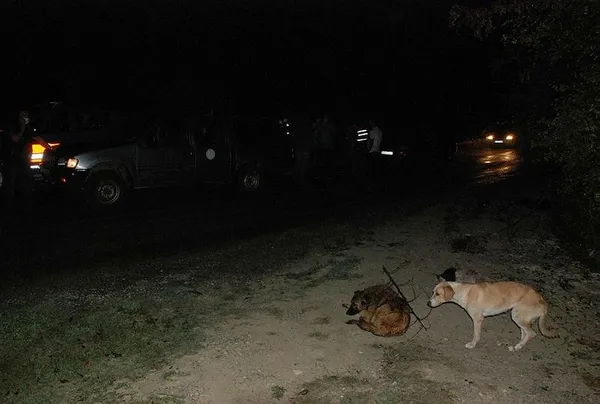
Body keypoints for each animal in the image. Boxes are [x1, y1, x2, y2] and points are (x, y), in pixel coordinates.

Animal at [428, 281, 558, 351]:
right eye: (433, 292)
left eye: (437, 294)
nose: (428, 303)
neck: (464, 292)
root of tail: (543, 302)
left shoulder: (478, 319)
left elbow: (476, 335)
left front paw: (472, 345)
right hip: (520, 318)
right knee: (525, 333)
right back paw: (517, 347)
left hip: (517, 316)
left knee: (531, 333)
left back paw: (519, 346)